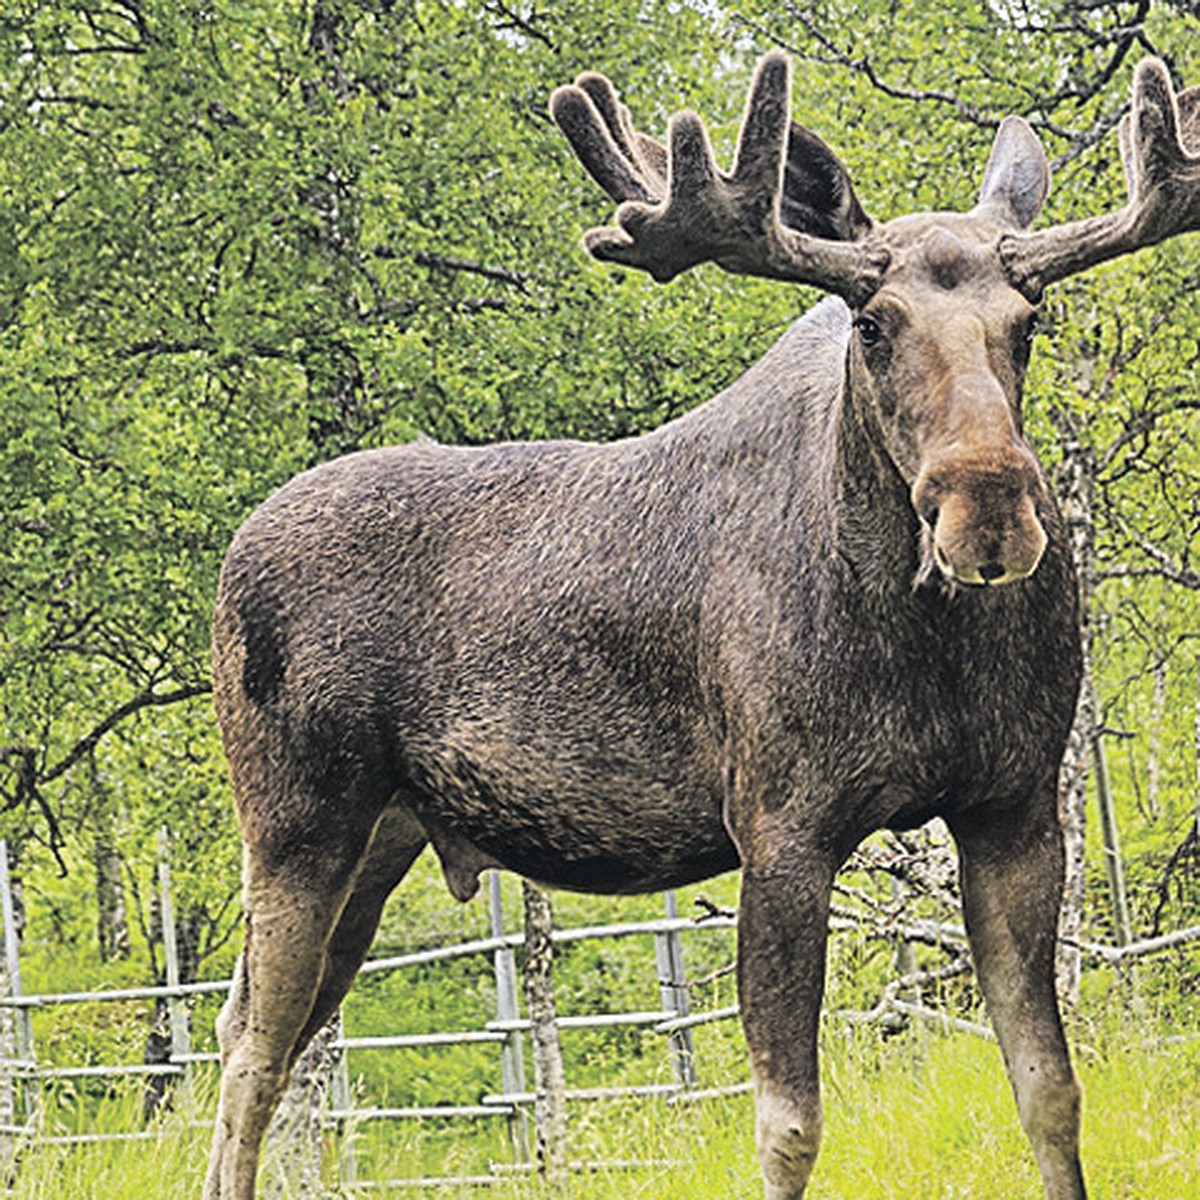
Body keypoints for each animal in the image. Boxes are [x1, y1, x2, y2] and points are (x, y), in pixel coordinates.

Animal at [201, 51, 1195, 1195]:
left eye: (1030, 321)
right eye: (871, 321)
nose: (985, 507)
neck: (922, 646)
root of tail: (231, 557)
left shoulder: (1016, 807)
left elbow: (1048, 1088)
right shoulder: (780, 821)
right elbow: (789, 1120)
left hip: (381, 833)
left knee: (270, 1029)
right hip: (294, 818)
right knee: (252, 1047)